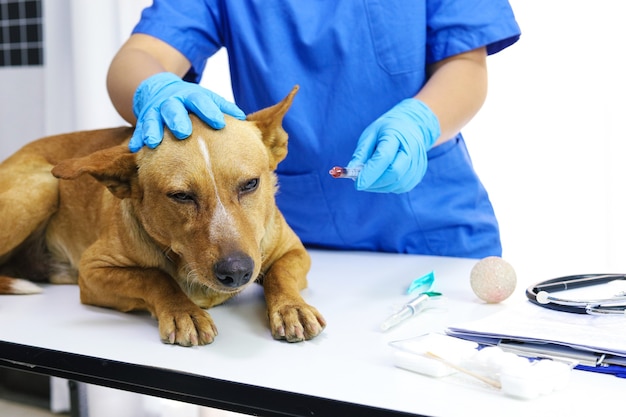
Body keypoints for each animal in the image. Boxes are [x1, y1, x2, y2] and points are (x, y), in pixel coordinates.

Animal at [0, 85, 322, 344]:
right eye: (181, 196)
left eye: (250, 184)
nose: (237, 271)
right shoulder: (92, 271)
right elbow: (153, 277)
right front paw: (184, 311)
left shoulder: (293, 251)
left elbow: (280, 274)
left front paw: (291, 307)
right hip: (43, 186)